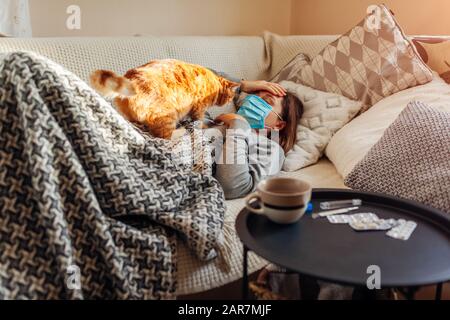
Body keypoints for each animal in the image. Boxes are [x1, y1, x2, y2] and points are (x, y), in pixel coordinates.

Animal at [90, 58, 239, 139]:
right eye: (231, 96)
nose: (230, 101)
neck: (214, 83)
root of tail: (131, 77)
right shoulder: (199, 109)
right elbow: (200, 121)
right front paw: (203, 125)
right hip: (167, 114)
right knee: (166, 138)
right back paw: (182, 130)